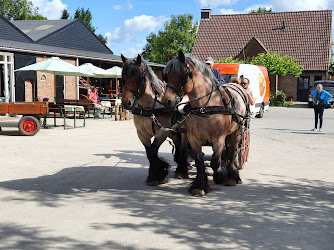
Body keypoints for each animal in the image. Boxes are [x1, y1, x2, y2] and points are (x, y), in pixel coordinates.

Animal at [121, 53, 189, 186]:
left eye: (138, 77)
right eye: (124, 77)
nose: (127, 102)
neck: (150, 107)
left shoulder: (162, 132)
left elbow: (152, 151)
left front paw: (158, 175)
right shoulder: (142, 134)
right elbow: (149, 152)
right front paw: (153, 176)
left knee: (184, 148)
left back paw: (181, 170)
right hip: (174, 133)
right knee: (178, 146)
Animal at [160, 50, 249, 195]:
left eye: (182, 75)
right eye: (166, 76)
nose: (167, 101)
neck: (204, 106)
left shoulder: (218, 138)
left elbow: (215, 162)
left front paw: (220, 175)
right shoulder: (193, 137)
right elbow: (199, 160)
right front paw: (200, 185)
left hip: (237, 130)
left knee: (234, 150)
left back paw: (232, 176)